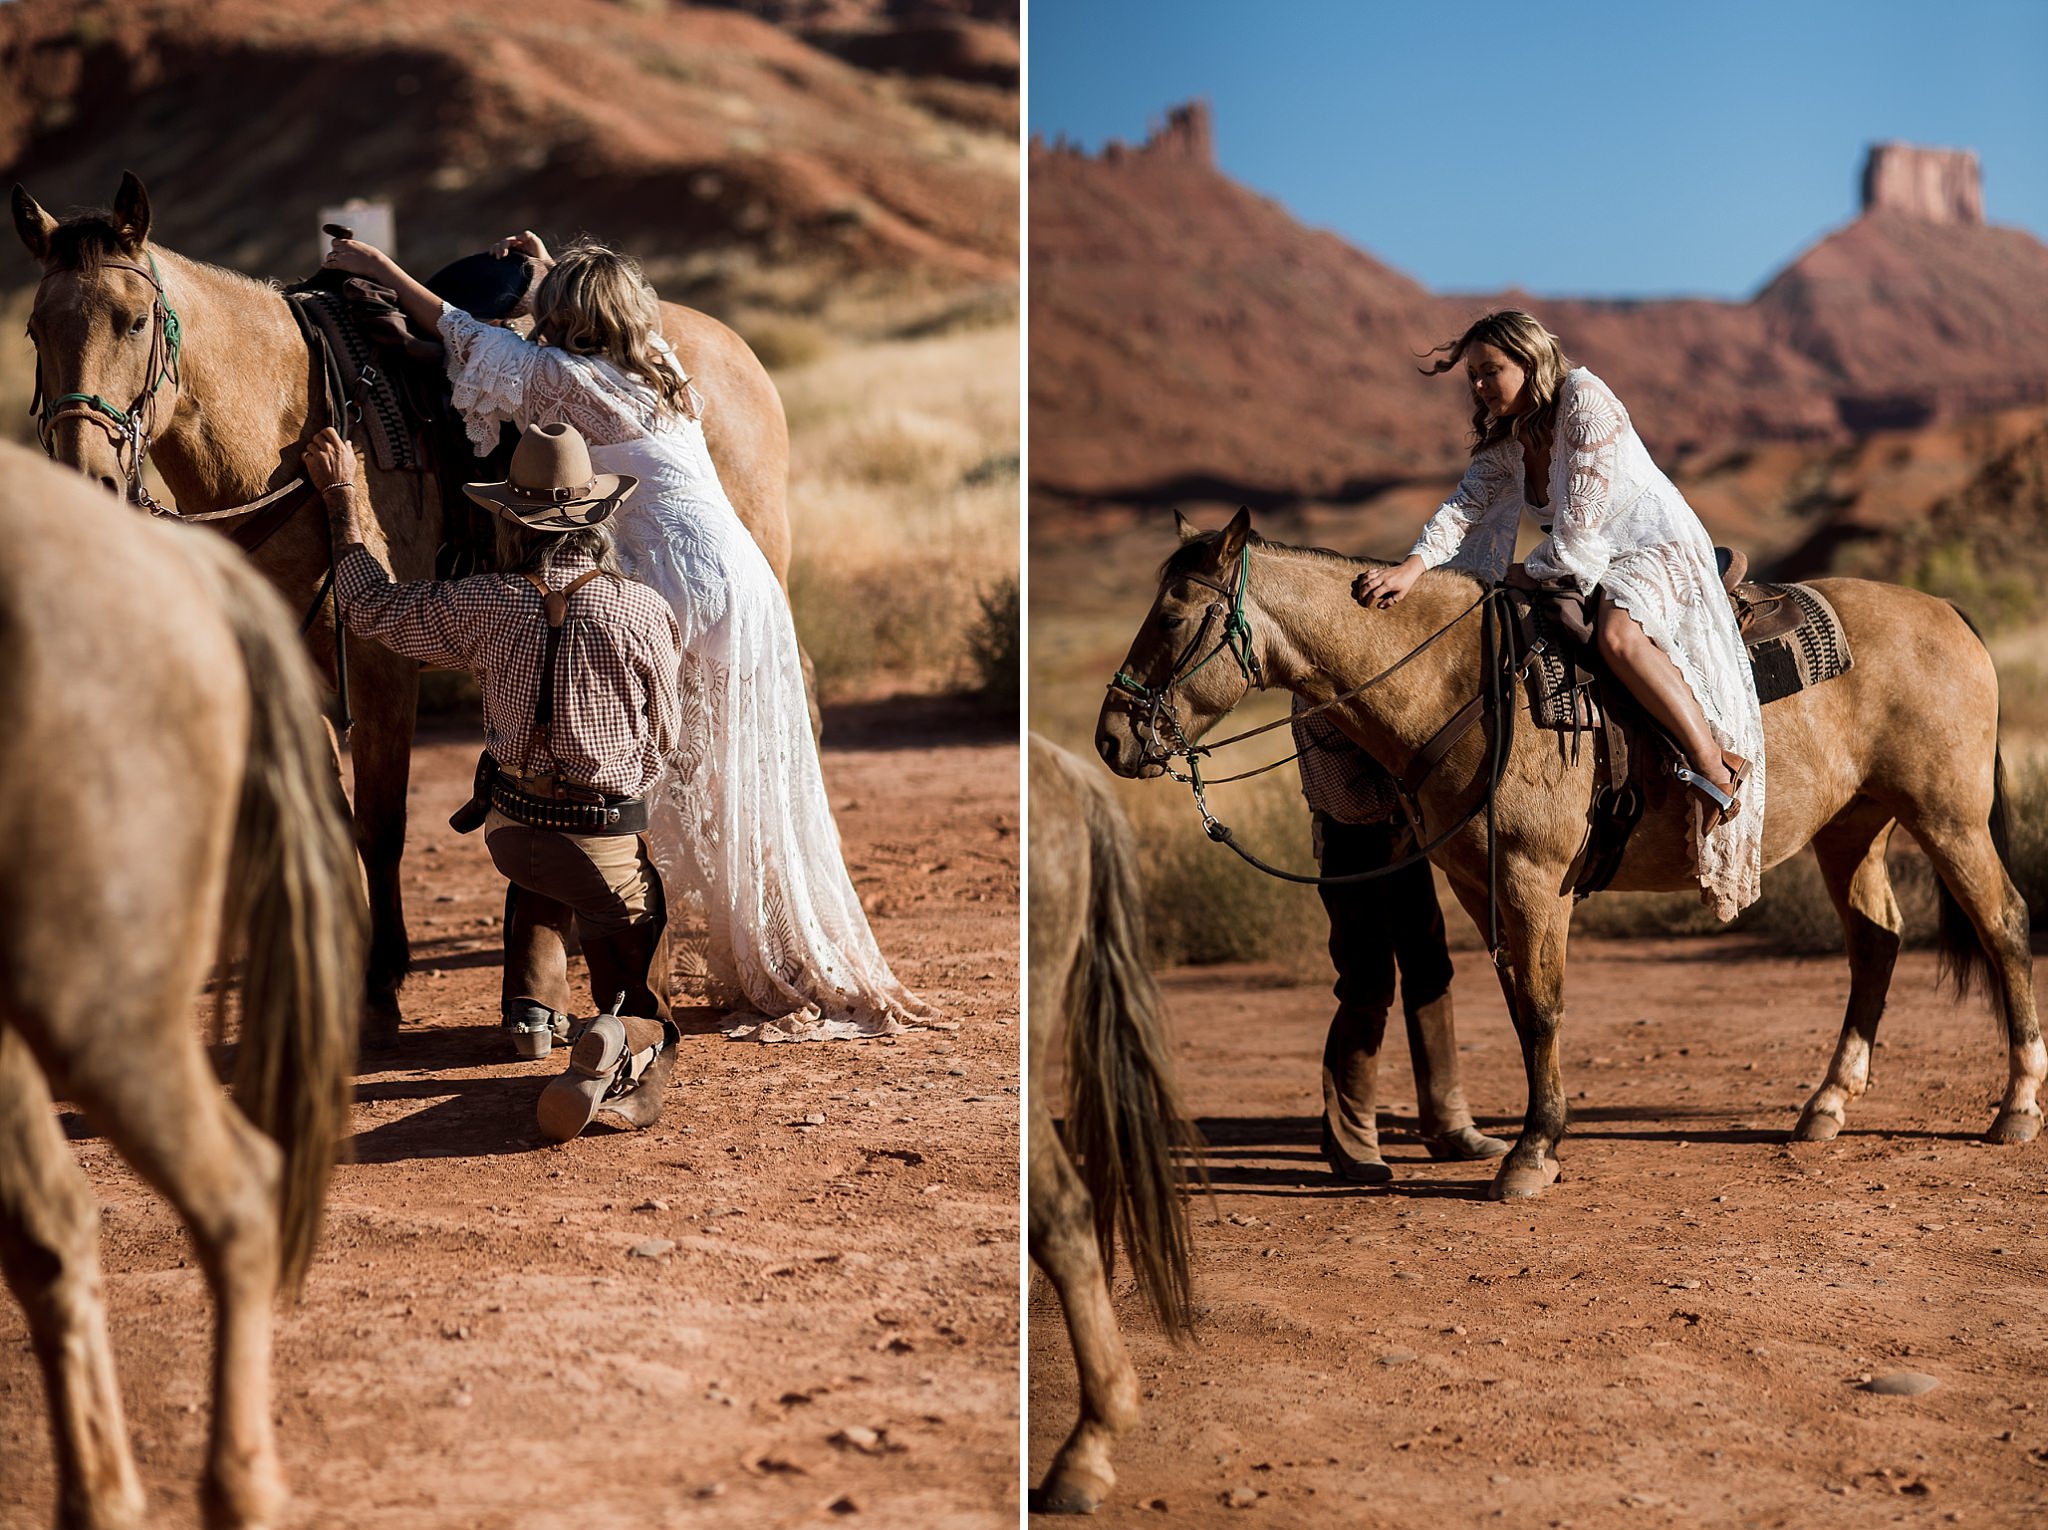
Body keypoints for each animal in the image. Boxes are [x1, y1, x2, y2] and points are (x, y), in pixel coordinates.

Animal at [14, 173, 798, 1048]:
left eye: (135, 320)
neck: (286, 435)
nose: (86, 477)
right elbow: (330, 824)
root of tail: (722, 349)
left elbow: (379, 823)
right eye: (37, 329)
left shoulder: (382, 660)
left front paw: (382, 981)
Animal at [1097, 514, 2039, 1212]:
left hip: (1948, 818)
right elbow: (1517, 1006)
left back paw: (2017, 1106)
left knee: (2004, 926)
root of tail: (1947, 610)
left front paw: (1530, 1154)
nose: (1112, 738)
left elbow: (1544, 1009)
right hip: (1853, 828)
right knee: (1876, 944)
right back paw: (1827, 1106)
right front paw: (1529, 1140)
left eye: (1173, 616)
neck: (1464, 685)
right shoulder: (1477, 883)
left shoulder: (1532, 878)